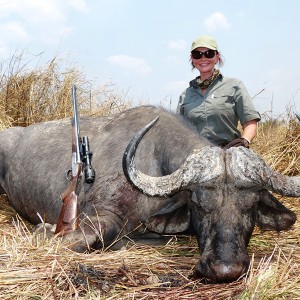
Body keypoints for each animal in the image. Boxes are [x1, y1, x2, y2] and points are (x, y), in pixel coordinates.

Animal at [0, 106, 298, 282]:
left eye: (251, 205)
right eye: (199, 204)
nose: (226, 269)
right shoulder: (97, 215)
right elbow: (88, 235)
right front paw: (45, 230)